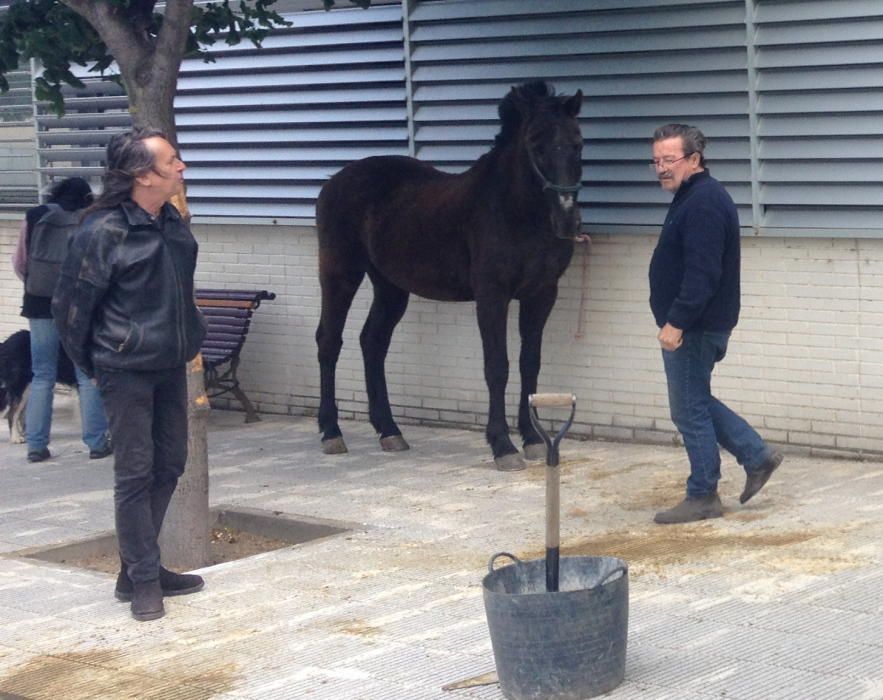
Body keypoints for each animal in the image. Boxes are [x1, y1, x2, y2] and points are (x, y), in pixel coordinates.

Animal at [314, 80, 584, 470]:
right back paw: (331, 432)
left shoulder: (542, 294)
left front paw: (532, 439)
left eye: (578, 143)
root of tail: (333, 182)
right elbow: (497, 366)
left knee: (373, 342)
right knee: (329, 341)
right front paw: (503, 445)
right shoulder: (492, 296)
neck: (515, 211)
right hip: (340, 274)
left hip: (390, 287)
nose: (567, 220)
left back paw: (389, 431)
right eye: (535, 143)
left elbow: (529, 364)